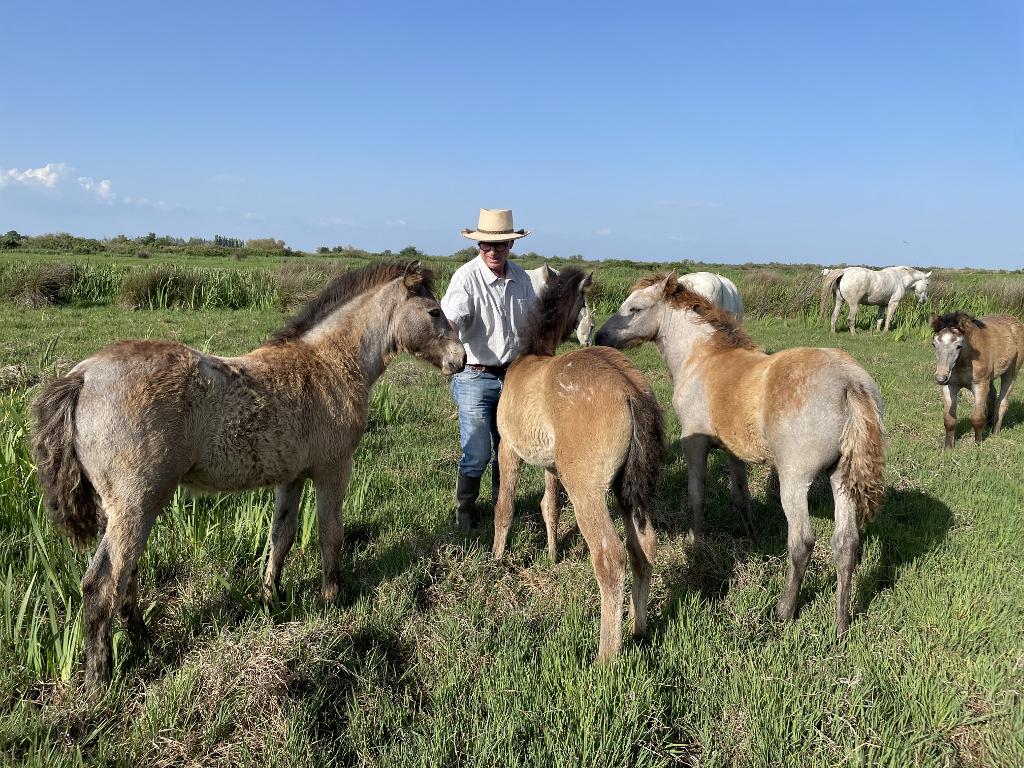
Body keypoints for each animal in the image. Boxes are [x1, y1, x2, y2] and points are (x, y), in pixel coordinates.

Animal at [30, 262, 464, 688]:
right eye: (434, 312)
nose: (460, 360)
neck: (330, 364)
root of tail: (82, 377)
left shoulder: (292, 476)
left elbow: (282, 536)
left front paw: (272, 599)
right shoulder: (333, 468)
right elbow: (330, 533)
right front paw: (332, 599)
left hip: (119, 509)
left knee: (125, 578)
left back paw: (147, 646)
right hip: (138, 503)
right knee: (102, 585)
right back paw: (100, 683)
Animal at [493, 266, 663, 663]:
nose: (592, 336)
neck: (530, 358)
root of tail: (630, 390)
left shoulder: (509, 448)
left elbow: (505, 506)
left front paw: (495, 559)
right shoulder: (552, 467)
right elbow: (549, 506)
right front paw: (552, 554)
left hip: (587, 490)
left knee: (610, 558)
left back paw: (605, 656)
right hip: (625, 492)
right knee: (643, 551)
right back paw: (639, 629)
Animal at [598, 274, 884, 638]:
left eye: (634, 308)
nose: (599, 338)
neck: (703, 357)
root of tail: (849, 381)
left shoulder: (694, 444)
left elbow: (697, 497)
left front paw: (696, 544)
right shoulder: (734, 450)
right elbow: (741, 495)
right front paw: (752, 537)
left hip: (794, 479)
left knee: (802, 542)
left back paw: (784, 611)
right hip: (841, 477)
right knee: (846, 543)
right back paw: (841, 623)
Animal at [929, 311, 1024, 448]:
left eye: (958, 346)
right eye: (934, 344)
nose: (940, 378)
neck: (962, 362)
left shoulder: (980, 385)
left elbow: (977, 418)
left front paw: (978, 444)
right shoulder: (950, 385)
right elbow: (949, 420)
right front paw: (948, 448)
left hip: (1011, 372)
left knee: (1002, 402)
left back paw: (995, 433)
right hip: (990, 378)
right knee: (992, 397)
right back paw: (989, 424)